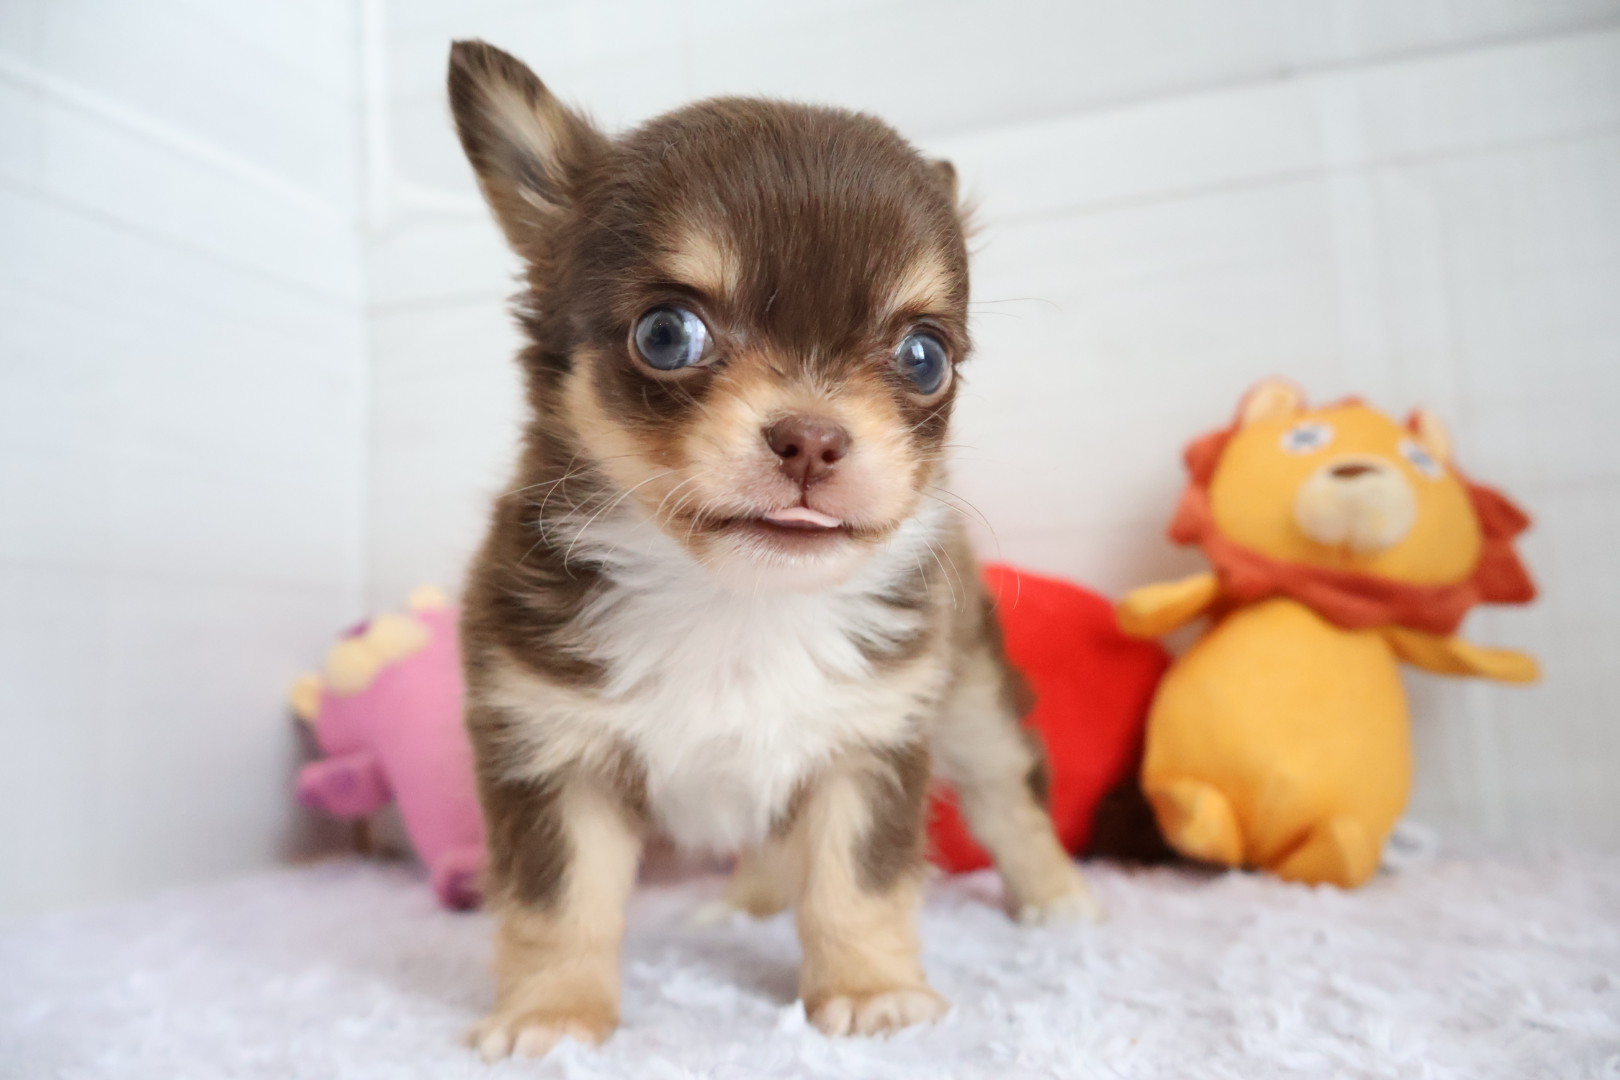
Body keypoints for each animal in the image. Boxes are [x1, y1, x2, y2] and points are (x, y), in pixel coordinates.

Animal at [446, 40, 1100, 1061]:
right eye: (667, 333)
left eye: (924, 356)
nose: (812, 439)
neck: (733, 605)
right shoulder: (550, 750)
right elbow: (559, 907)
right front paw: (552, 1016)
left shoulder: (868, 744)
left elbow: (856, 887)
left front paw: (870, 992)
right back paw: (743, 906)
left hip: (970, 697)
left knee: (1008, 793)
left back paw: (1058, 900)